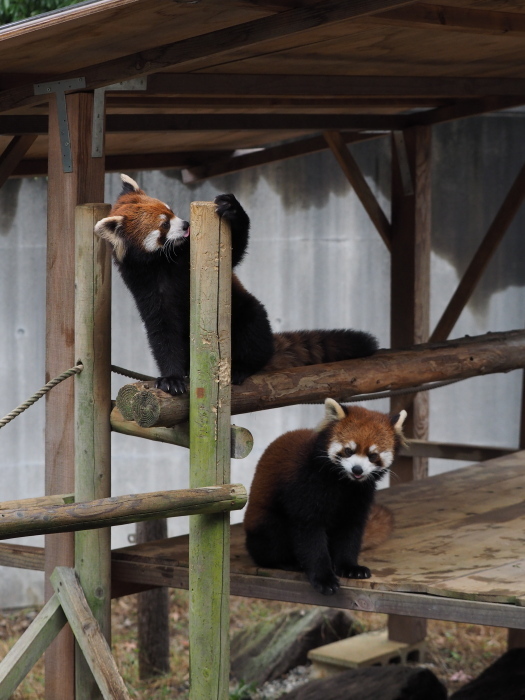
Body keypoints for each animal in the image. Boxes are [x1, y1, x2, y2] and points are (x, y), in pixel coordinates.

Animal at [94, 174, 376, 394]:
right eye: (164, 224)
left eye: (171, 210)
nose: (185, 224)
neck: (162, 263)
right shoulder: (146, 289)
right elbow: (163, 333)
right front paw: (172, 378)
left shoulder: (189, 255)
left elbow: (234, 251)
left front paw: (233, 209)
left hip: (244, 314)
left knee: (253, 324)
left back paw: (242, 366)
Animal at [243, 400, 406, 596]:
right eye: (348, 451)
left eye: (372, 455)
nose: (357, 469)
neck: (344, 483)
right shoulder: (306, 488)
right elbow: (310, 536)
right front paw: (324, 578)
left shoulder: (359, 497)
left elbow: (350, 533)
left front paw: (349, 567)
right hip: (265, 518)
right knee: (271, 537)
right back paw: (285, 561)